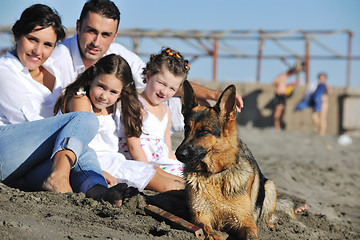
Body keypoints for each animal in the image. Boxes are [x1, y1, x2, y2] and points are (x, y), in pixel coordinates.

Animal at [176, 81, 296, 240]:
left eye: (204, 132)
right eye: (186, 129)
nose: (178, 154)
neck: (215, 174)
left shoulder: (245, 221)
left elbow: (251, 235)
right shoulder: (201, 216)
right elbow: (207, 229)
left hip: (269, 186)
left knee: (268, 217)